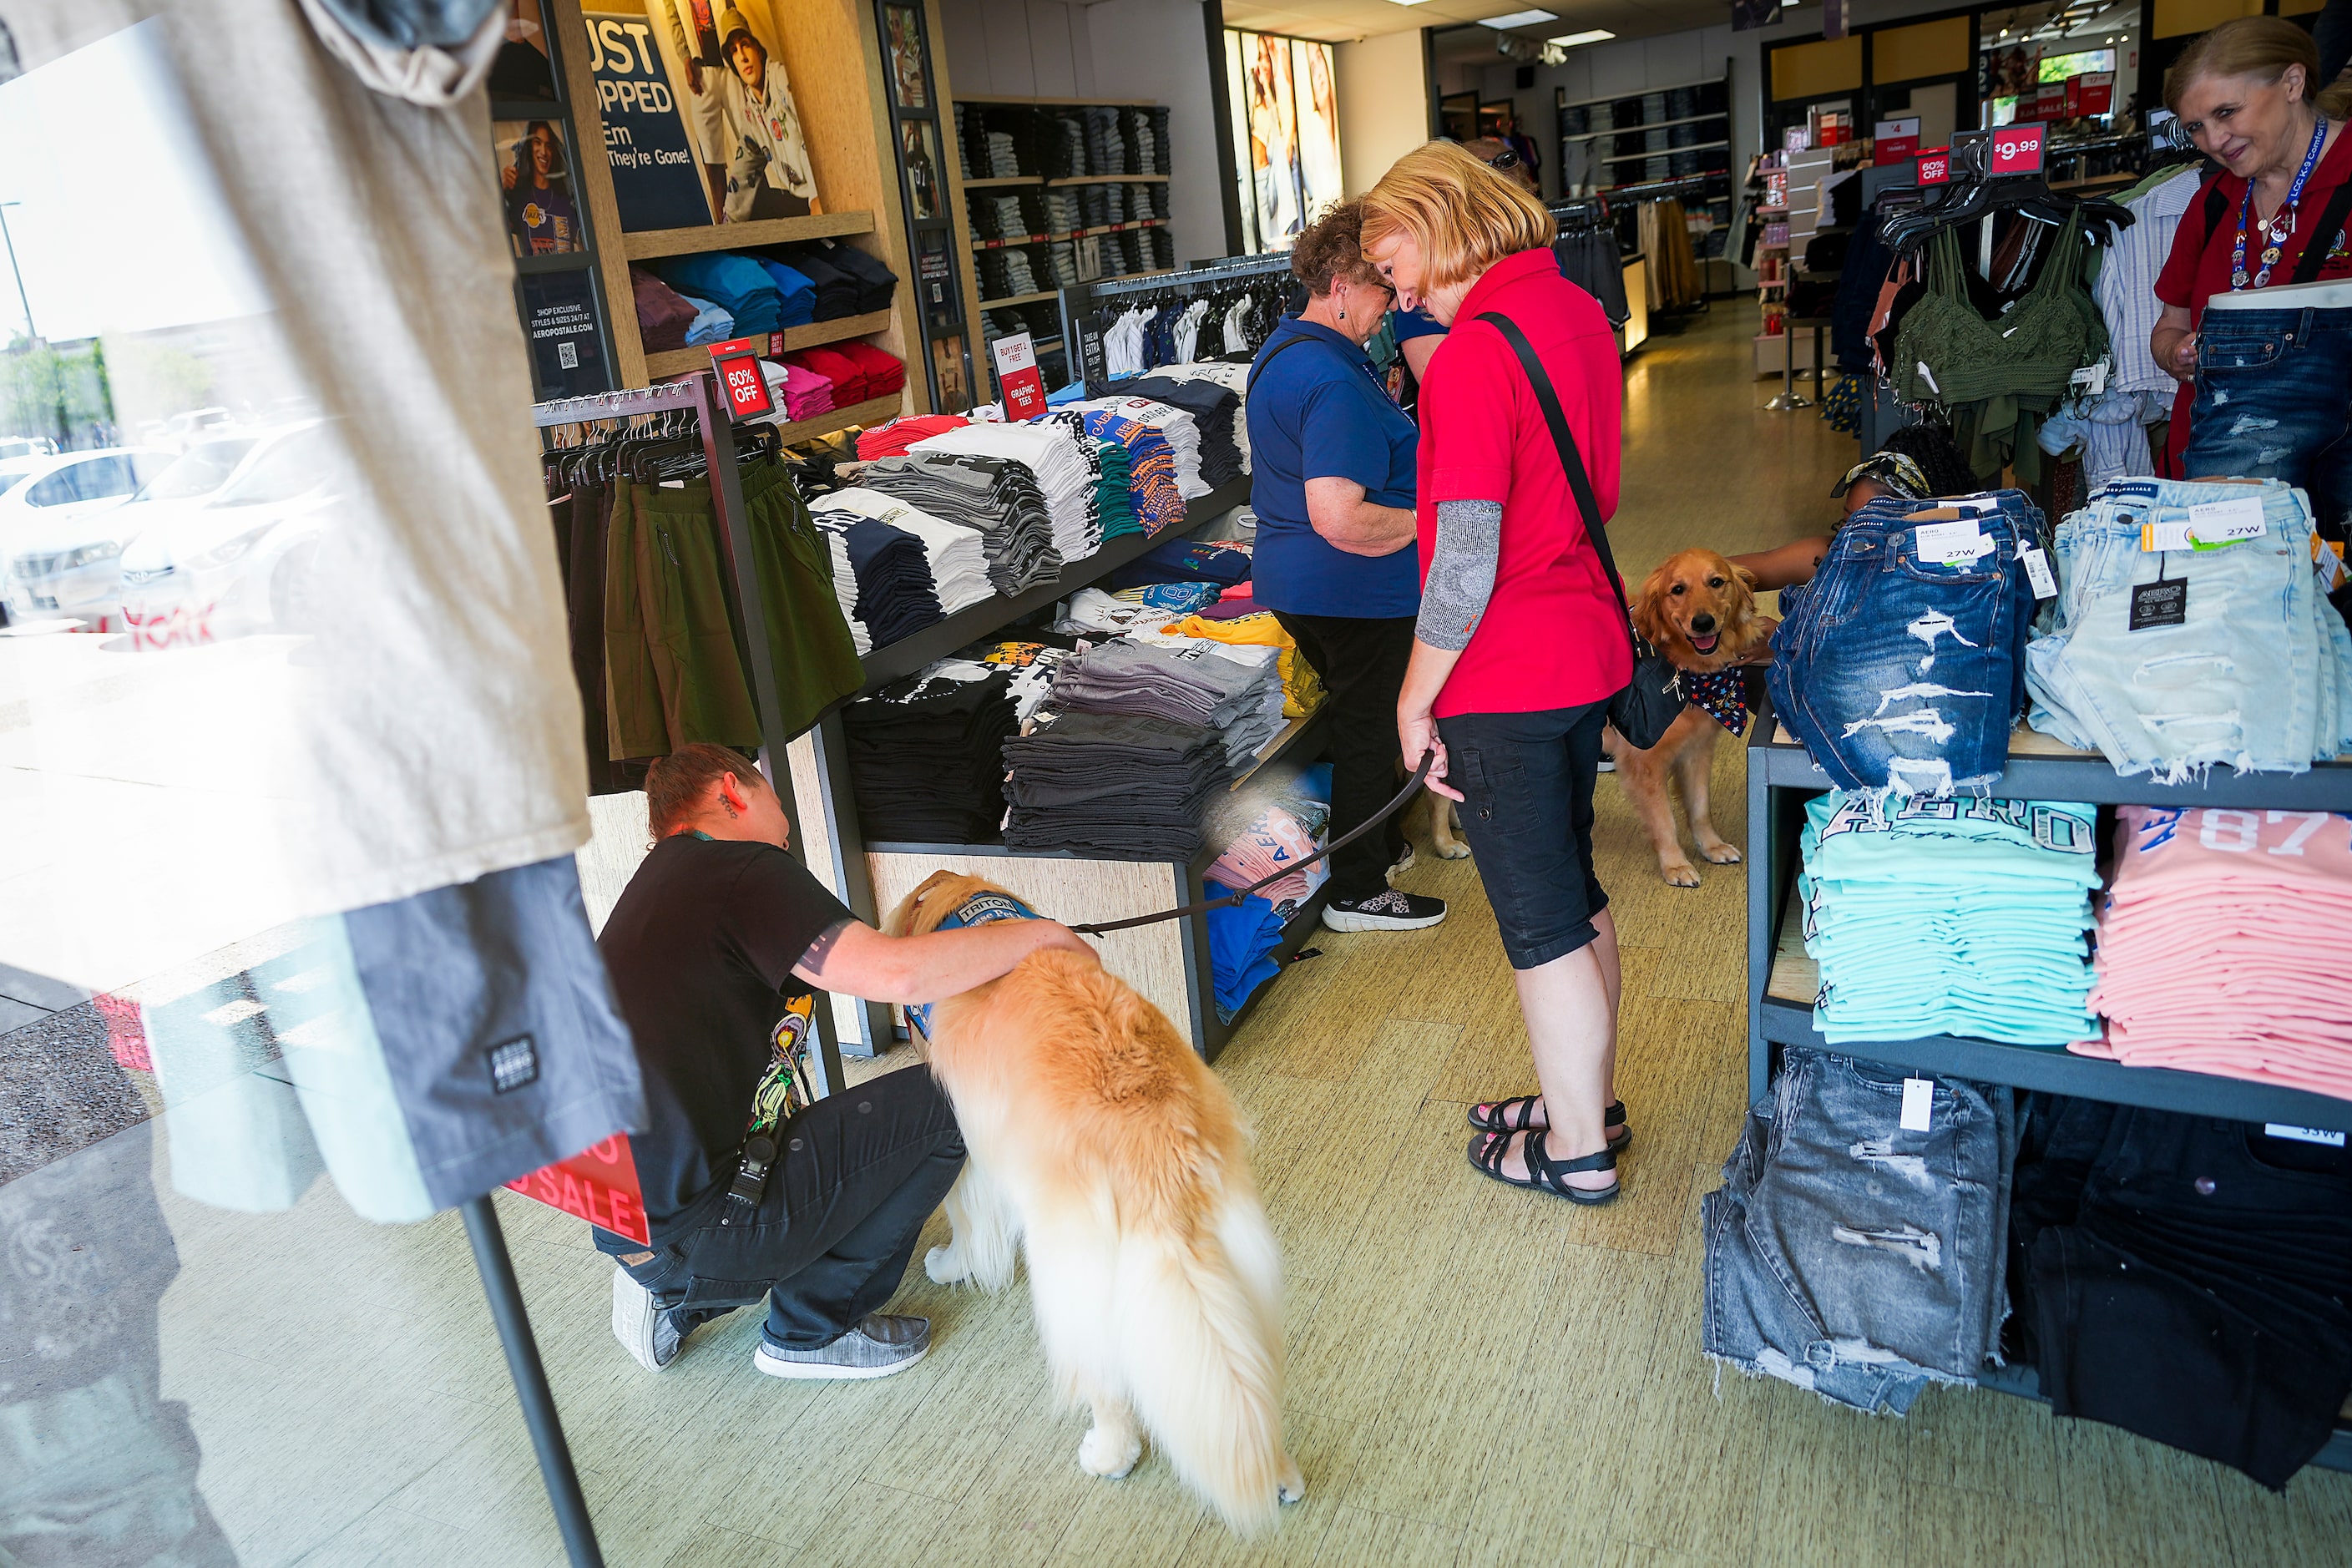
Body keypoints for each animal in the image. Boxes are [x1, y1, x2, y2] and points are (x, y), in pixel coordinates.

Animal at [884, 865, 1308, 1542]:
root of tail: (1156, 1139)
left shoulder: (969, 1143)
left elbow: (967, 1221)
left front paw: (949, 1266)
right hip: (1235, 1260)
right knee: (1249, 1375)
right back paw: (1277, 1470)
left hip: (1073, 1274)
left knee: (1104, 1380)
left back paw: (1110, 1453)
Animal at [1608, 549, 1768, 888]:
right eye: (1677, 589)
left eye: (1716, 582)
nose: (1703, 622)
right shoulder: (1645, 765)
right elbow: (1664, 820)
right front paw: (1676, 865)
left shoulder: (1696, 750)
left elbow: (1699, 807)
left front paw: (1711, 847)